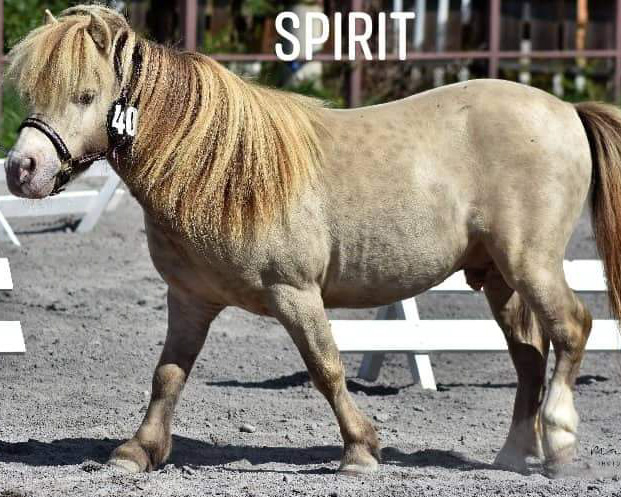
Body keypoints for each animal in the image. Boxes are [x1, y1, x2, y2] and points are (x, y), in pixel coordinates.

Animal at [5, 5, 621, 477]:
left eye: (86, 95)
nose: (21, 169)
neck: (221, 171)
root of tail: (566, 109)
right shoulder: (190, 301)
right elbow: (168, 375)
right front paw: (138, 451)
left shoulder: (295, 293)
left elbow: (326, 368)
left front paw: (360, 452)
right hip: (497, 276)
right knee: (529, 356)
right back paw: (513, 456)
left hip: (531, 263)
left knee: (570, 330)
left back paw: (559, 446)